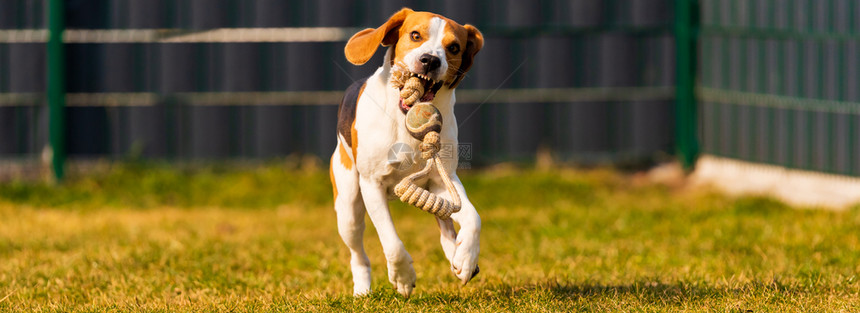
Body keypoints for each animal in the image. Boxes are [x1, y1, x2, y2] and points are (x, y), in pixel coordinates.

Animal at [330, 6, 484, 294]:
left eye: (454, 47)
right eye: (415, 35)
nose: (430, 60)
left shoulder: (443, 179)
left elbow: (474, 218)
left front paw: (466, 258)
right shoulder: (372, 185)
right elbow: (391, 242)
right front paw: (403, 277)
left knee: (446, 225)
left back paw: (455, 252)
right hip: (348, 209)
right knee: (358, 254)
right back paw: (362, 289)